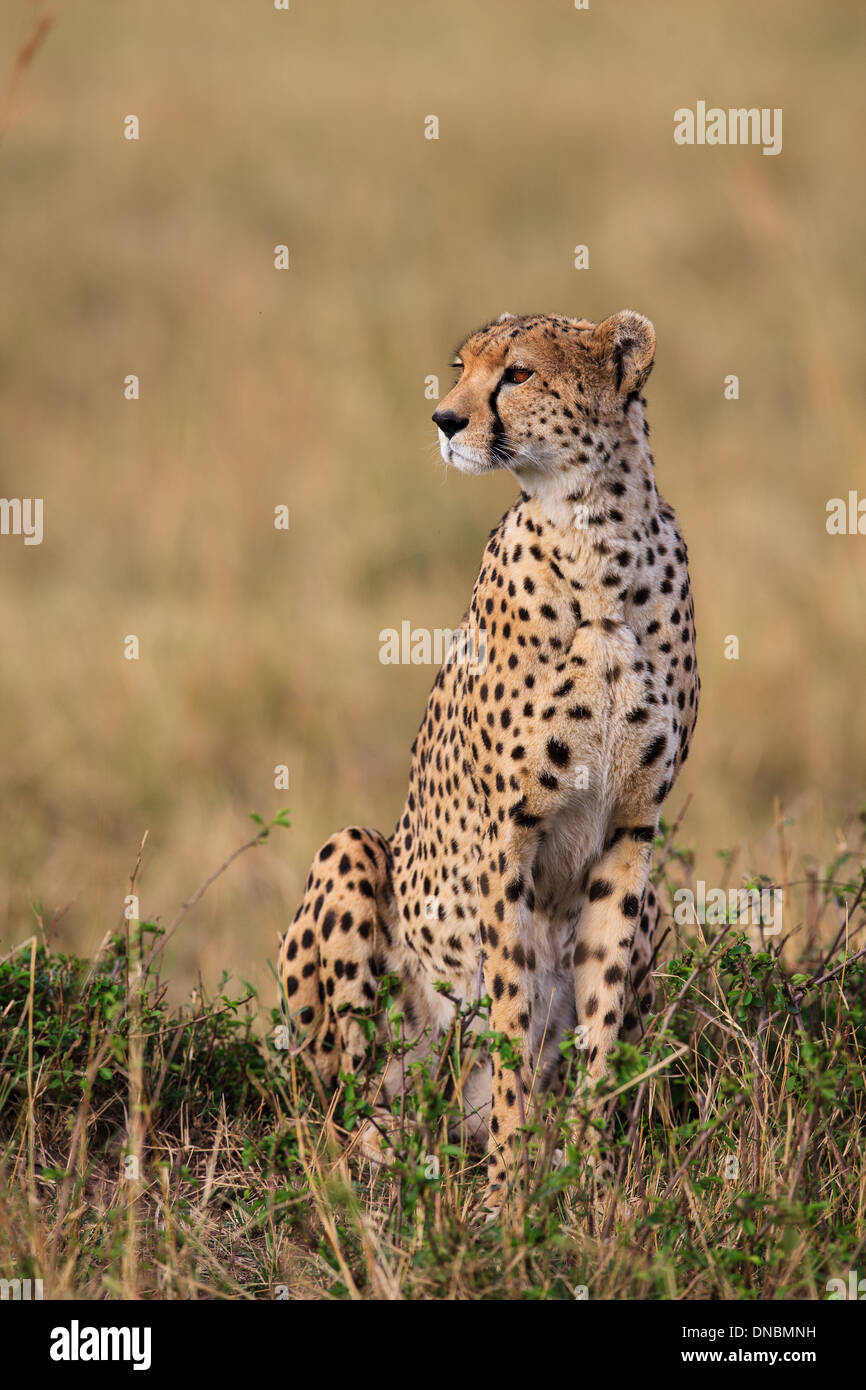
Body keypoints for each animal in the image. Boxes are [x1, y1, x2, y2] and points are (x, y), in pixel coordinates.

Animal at [278, 309, 699, 1210]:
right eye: (460, 368)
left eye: (519, 373)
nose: (444, 420)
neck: (596, 534)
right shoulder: (510, 836)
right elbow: (509, 1016)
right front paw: (511, 1192)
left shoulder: (631, 833)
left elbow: (598, 1020)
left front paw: (585, 1178)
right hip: (352, 858)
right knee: (340, 1103)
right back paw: (384, 1151)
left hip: (658, 902)